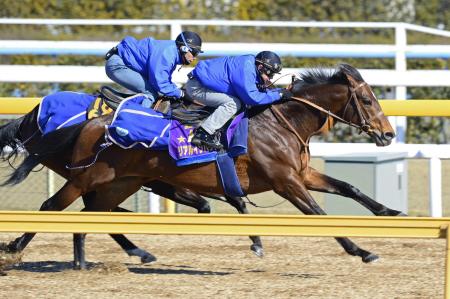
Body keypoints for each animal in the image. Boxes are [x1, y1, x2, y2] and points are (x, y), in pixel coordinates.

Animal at [6, 63, 400, 264]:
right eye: (367, 99)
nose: (388, 134)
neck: (280, 122)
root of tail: (91, 122)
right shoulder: (286, 181)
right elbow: (318, 214)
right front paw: (362, 250)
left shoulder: (302, 173)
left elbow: (349, 187)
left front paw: (389, 213)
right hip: (87, 177)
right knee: (51, 207)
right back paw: (13, 249)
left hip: (120, 182)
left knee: (91, 217)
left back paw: (104, 256)